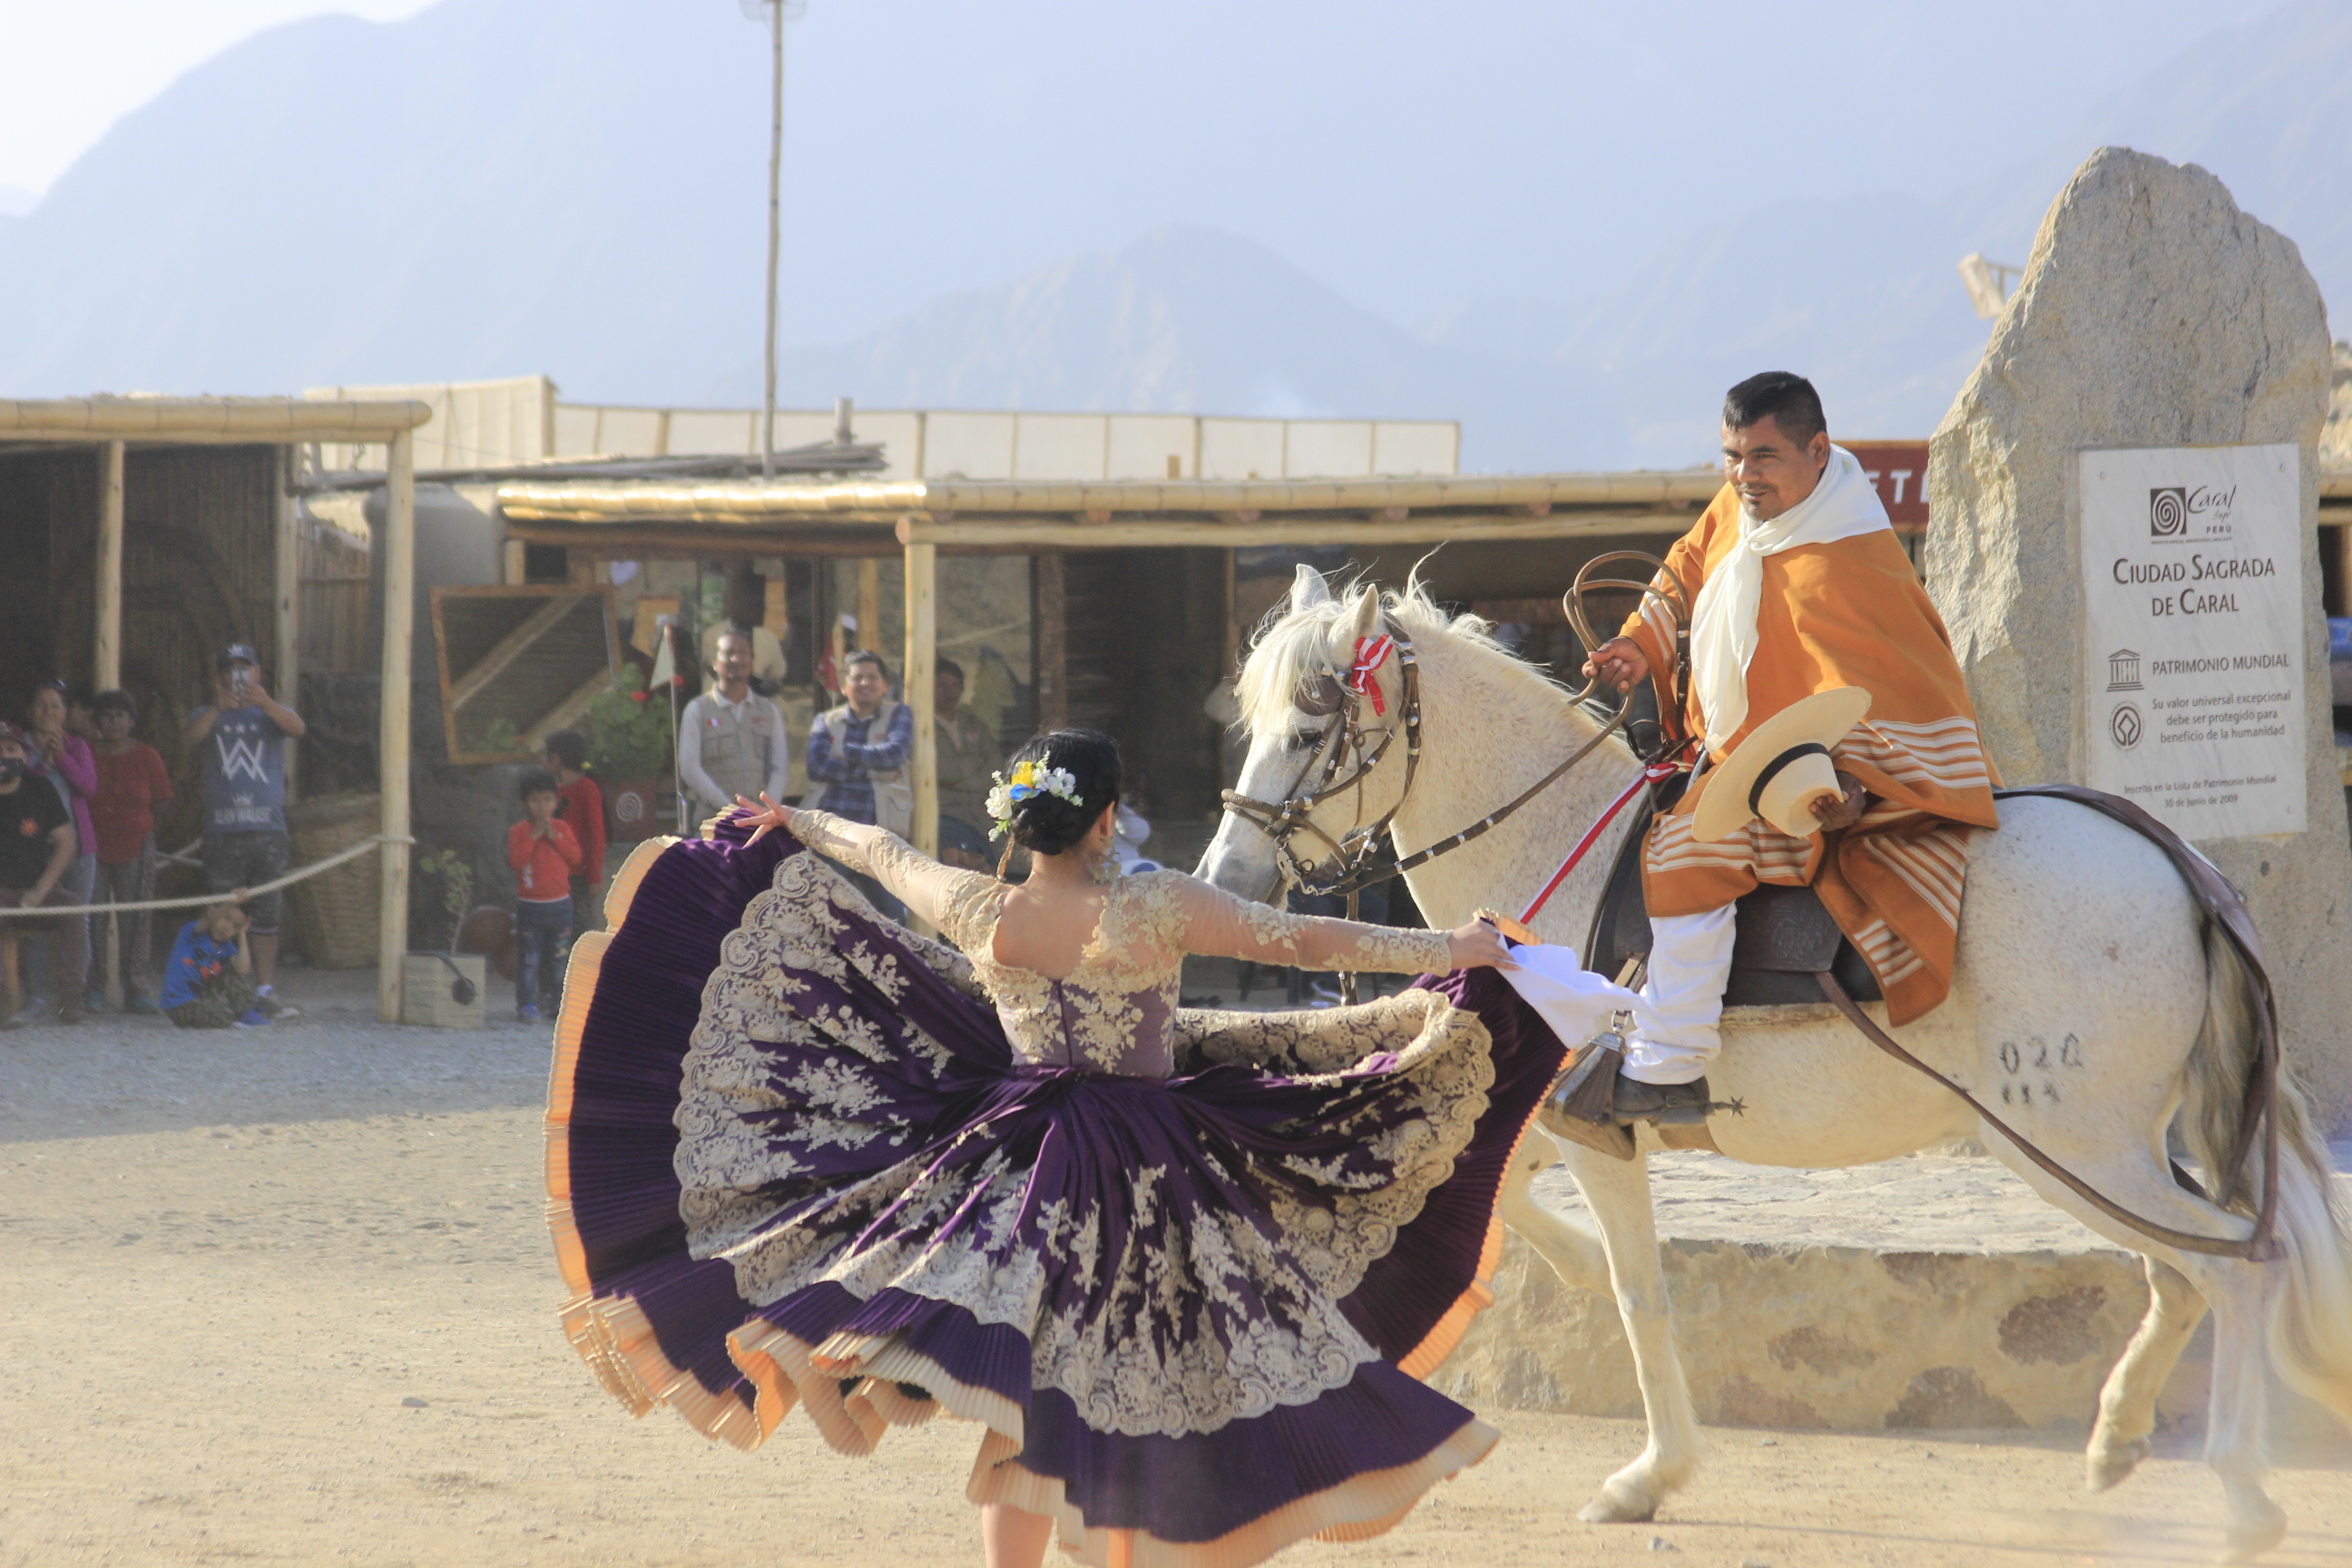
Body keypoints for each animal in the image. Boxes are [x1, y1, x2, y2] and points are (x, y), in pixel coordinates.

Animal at [1204, 566, 2352, 1561]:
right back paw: (2118, 1442)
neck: (1561, 845)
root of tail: (2180, 868)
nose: (1228, 878)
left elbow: (1639, 1292)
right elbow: (1506, 1199)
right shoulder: (1549, 1113)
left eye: (1309, 728)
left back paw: (2240, 1492)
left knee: (2233, 1267)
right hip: (2083, 1151)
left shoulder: (1597, 1131)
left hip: (2075, 1148)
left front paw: (1650, 1474)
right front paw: (1561, 1275)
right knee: (2180, 1271)